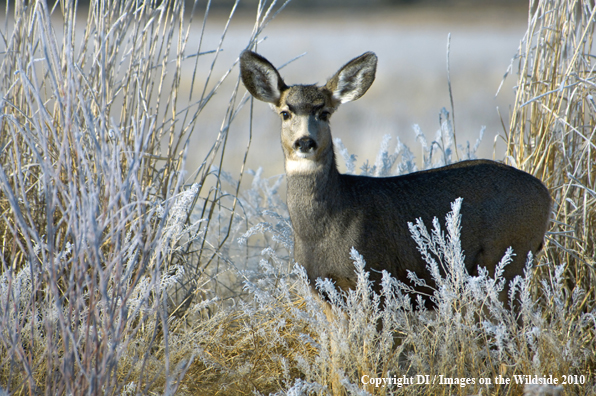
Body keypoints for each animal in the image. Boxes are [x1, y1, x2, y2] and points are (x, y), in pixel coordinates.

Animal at [240, 49, 552, 304]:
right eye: (285, 113)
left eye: (325, 112)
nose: (305, 142)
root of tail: (545, 192)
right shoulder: (322, 288)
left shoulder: (373, 276)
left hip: (508, 256)